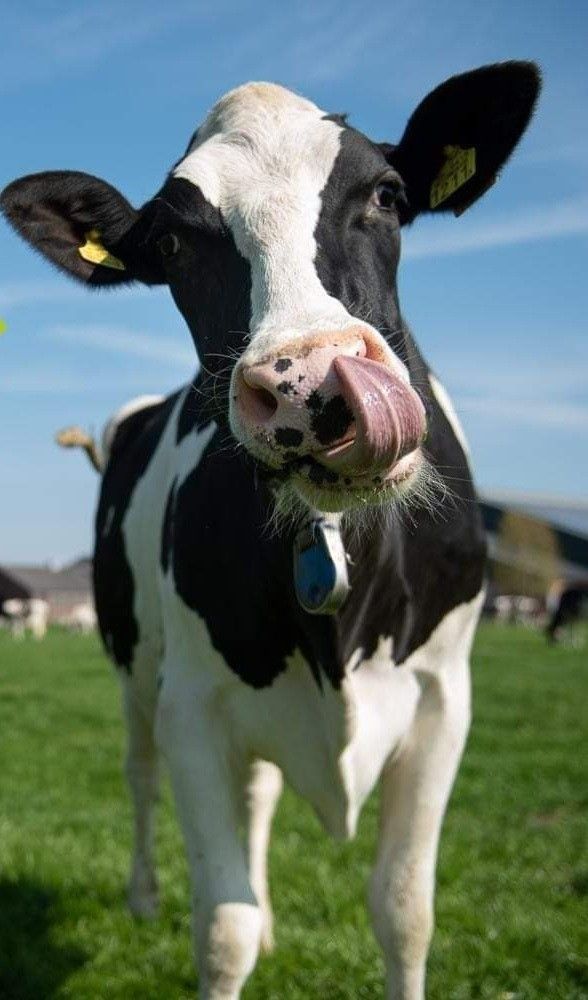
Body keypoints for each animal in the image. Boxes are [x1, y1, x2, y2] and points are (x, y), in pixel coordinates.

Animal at [1, 64, 544, 1000]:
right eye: (173, 243)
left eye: (388, 195)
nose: (309, 383)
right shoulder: (192, 706)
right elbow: (223, 930)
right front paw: (215, 923)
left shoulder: (445, 699)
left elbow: (405, 911)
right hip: (132, 662)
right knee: (140, 774)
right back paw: (144, 896)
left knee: (256, 802)